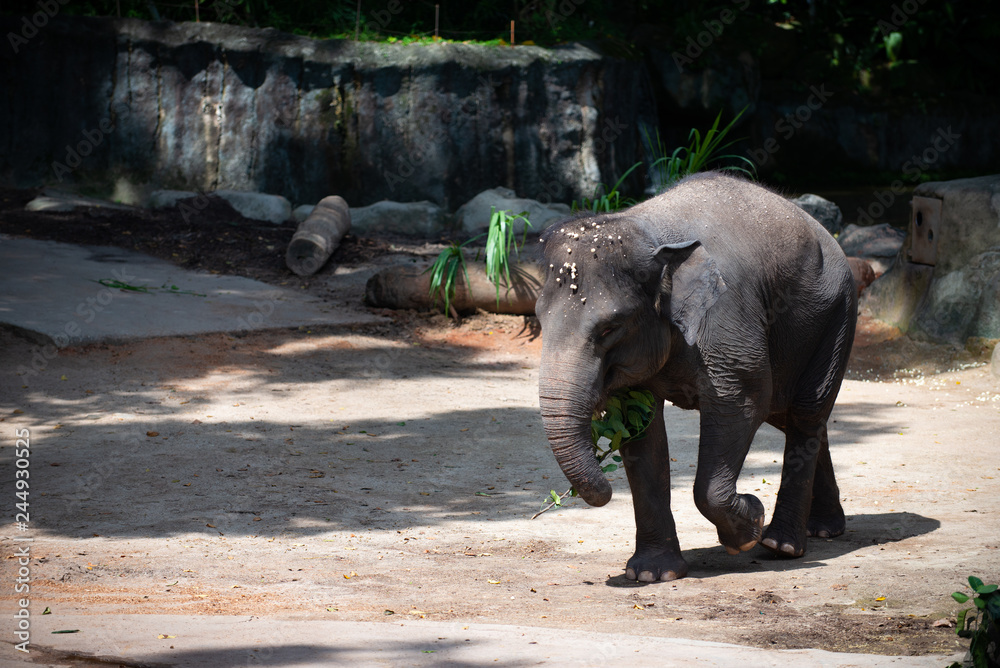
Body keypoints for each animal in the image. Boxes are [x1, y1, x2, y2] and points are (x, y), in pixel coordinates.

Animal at [536, 171, 856, 580]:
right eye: (538, 318)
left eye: (610, 327)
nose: (603, 489)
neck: (648, 231)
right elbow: (640, 430)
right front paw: (651, 574)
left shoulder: (727, 320)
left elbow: (744, 402)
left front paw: (749, 526)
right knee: (794, 415)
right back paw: (823, 529)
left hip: (836, 316)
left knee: (806, 411)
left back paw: (781, 545)